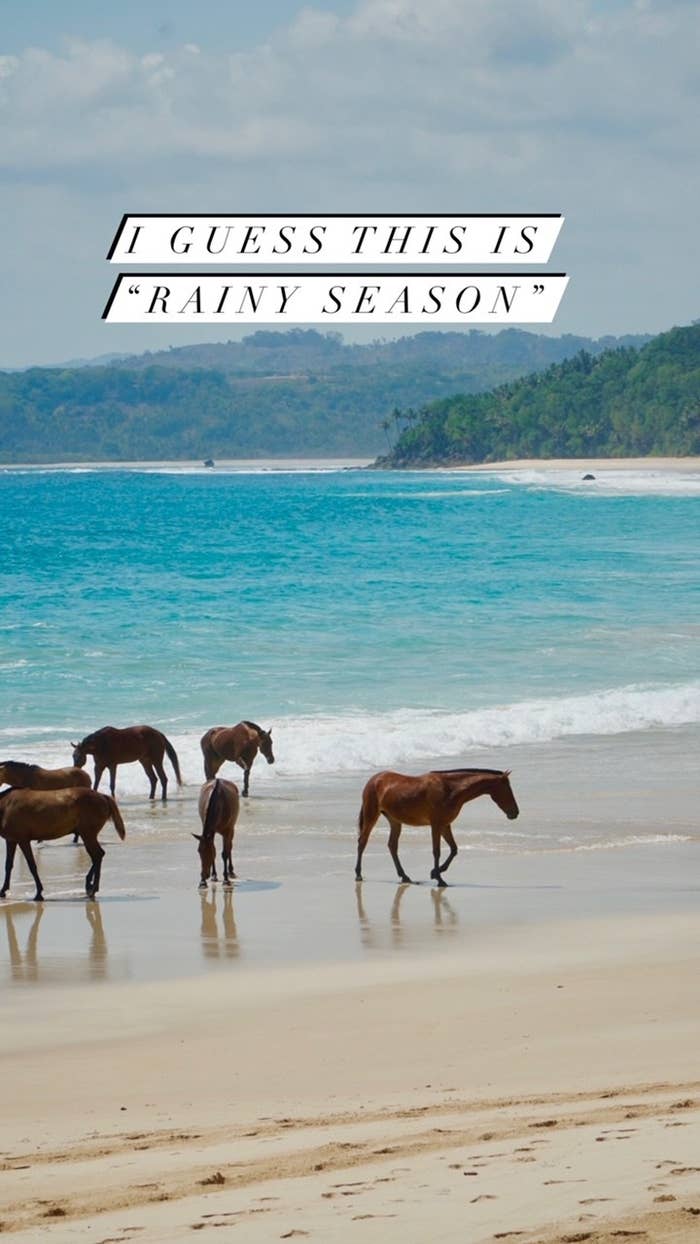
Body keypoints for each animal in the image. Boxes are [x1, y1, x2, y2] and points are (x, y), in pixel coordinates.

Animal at [358, 766, 517, 885]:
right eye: (507, 788)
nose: (515, 812)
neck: (450, 789)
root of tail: (373, 780)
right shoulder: (436, 825)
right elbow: (437, 851)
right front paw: (439, 879)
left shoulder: (445, 825)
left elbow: (454, 849)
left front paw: (436, 872)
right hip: (371, 815)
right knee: (362, 842)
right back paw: (358, 874)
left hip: (395, 821)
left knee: (392, 846)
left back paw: (404, 876)